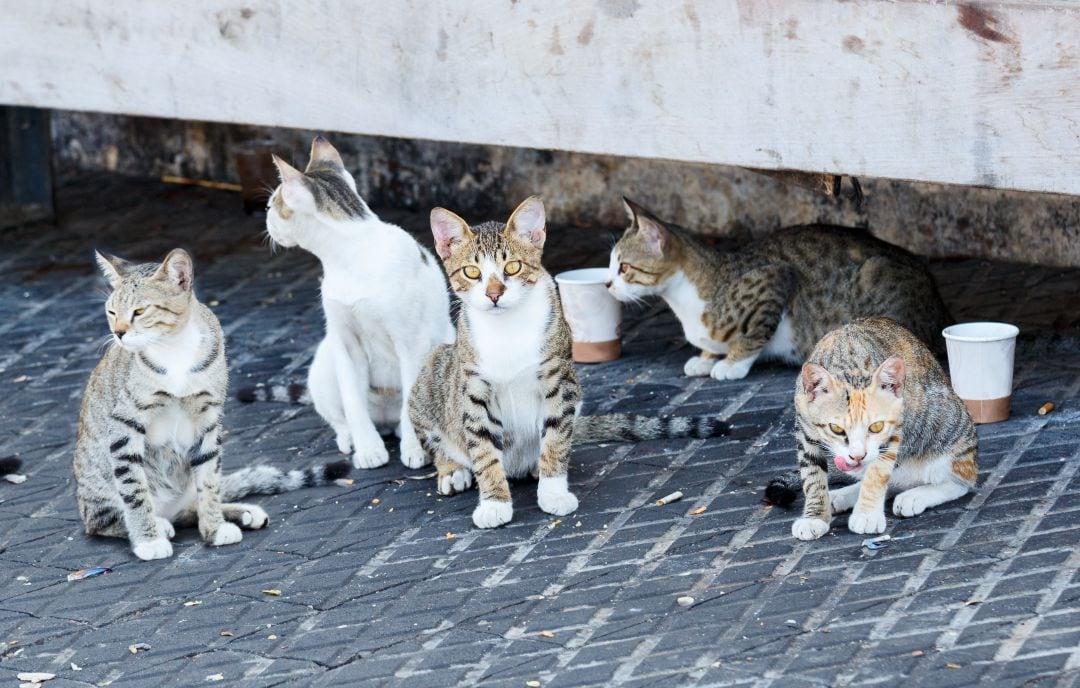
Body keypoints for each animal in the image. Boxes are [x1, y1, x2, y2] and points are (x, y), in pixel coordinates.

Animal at [78, 249, 347, 561]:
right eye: (111, 312)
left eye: (140, 311)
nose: (118, 333)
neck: (174, 350)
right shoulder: (125, 423)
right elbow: (133, 489)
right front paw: (148, 539)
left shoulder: (207, 418)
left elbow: (209, 480)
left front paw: (214, 528)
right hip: (97, 487)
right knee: (103, 520)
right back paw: (158, 523)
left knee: (190, 508)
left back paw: (240, 513)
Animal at [251, 135, 451, 466]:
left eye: (271, 205)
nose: (266, 219)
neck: (350, 254)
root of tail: (385, 417)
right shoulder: (345, 342)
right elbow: (352, 402)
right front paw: (368, 449)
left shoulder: (411, 340)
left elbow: (412, 398)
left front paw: (414, 449)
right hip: (324, 363)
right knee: (339, 416)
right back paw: (350, 438)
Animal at [408, 195, 730, 529]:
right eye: (472, 272)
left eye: (512, 266)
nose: (494, 293)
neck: (507, 328)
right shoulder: (474, 389)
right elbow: (483, 449)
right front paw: (494, 502)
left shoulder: (559, 379)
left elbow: (555, 438)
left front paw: (553, 492)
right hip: (431, 371)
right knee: (438, 439)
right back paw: (453, 469)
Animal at [609, 197, 954, 380]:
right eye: (611, 265)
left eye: (624, 267)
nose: (608, 284)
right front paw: (706, 357)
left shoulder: (774, 280)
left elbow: (754, 335)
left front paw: (731, 364)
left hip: (874, 278)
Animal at [764, 319, 984, 540]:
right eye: (836, 429)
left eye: (876, 426)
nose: (857, 455)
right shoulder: (804, 430)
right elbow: (812, 475)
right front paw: (815, 517)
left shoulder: (895, 428)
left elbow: (877, 473)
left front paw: (867, 515)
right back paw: (841, 495)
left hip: (948, 429)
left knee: (961, 481)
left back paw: (915, 495)